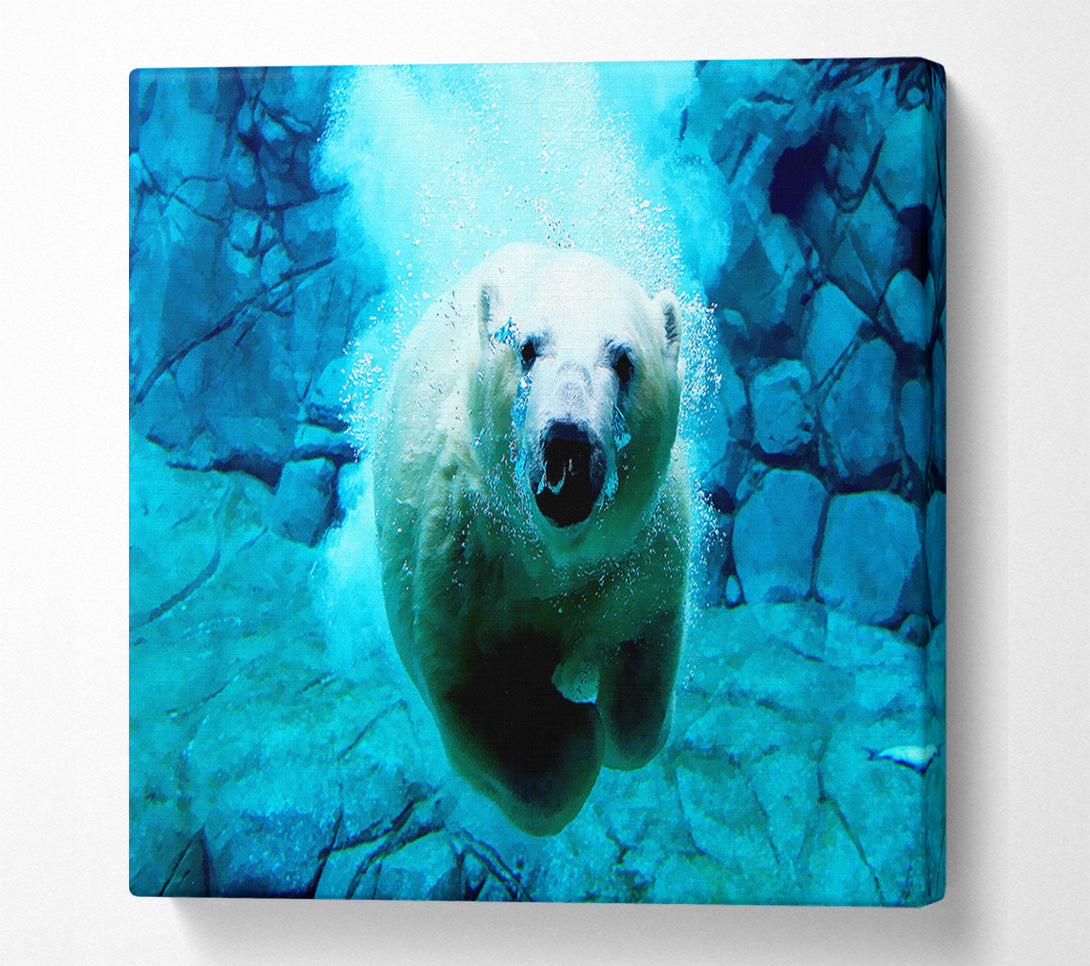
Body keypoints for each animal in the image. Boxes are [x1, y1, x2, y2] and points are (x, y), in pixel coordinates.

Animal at [372, 243, 689, 836]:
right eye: (526, 348)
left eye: (624, 360)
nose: (567, 441)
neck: (551, 556)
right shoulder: (461, 559)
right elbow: (476, 698)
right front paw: (570, 729)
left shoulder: (642, 550)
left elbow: (643, 657)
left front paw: (602, 714)